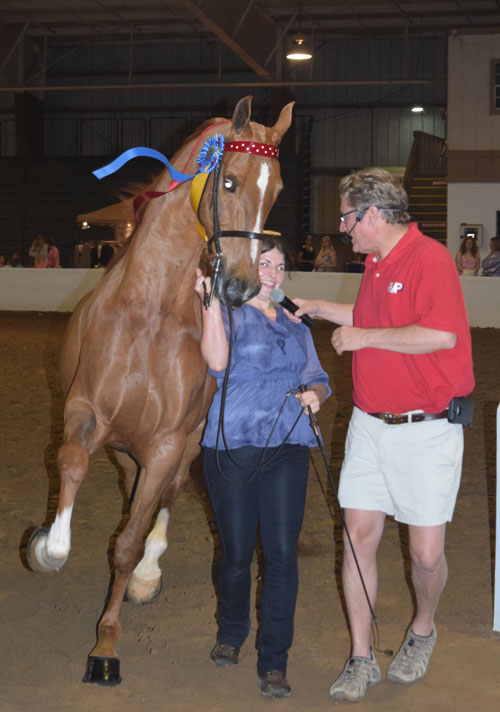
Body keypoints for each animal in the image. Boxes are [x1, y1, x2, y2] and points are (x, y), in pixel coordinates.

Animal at [26, 94, 292, 684]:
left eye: (278, 191)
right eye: (230, 181)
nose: (240, 286)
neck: (149, 310)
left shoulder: (169, 441)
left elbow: (128, 543)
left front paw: (105, 644)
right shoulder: (85, 410)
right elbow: (72, 463)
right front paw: (47, 548)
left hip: (182, 446)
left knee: (162, 502)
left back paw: (147, 578)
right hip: (126, 448)